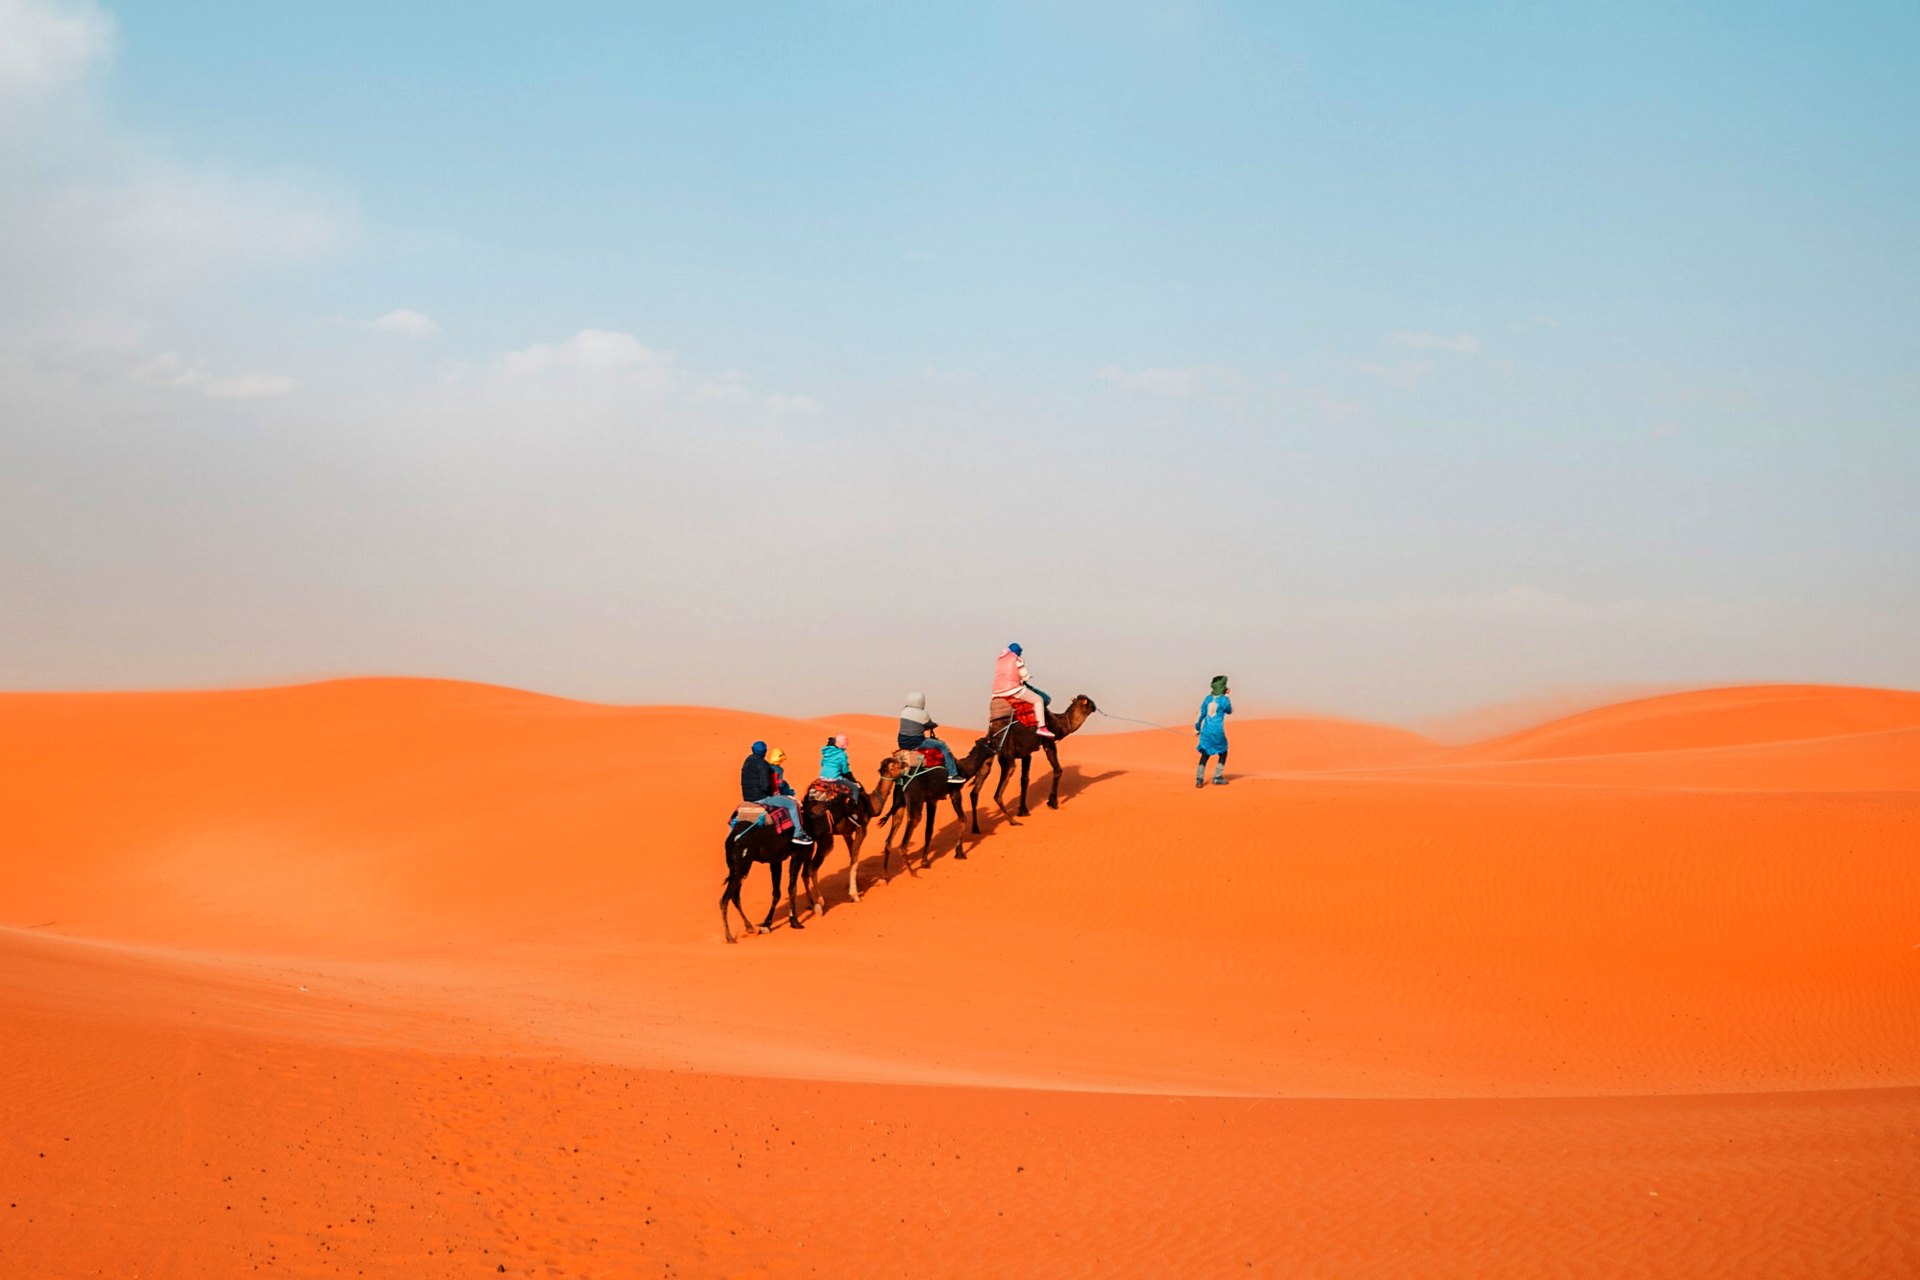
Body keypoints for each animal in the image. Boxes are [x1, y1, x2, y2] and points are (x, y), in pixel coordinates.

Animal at [798, 756, 910, 917]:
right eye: (895, 764)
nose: (906, 764)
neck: (870, 804)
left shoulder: (846, 832)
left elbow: (852, 857)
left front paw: (856, 888)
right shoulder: (861, 829)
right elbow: (855, 860)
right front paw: (855, 895)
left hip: (810, 841)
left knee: (805, 871)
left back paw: (811, 903)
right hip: (825, 838)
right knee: (812, 868)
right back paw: (819, 902)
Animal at [967, 694, 1105, 836]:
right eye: (1090, 702)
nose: (1096, 707)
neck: (1059, 724)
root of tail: (992, 733)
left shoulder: (1026, 753)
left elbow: (1025, 780)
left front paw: (1023, 810)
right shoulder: (1048, 742)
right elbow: (1058, 770)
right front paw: (1052, 803)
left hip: (988, 756)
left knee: (975, 790)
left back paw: (976, 828)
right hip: (1007, 757)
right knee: (998, 793)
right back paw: (1013, 822)